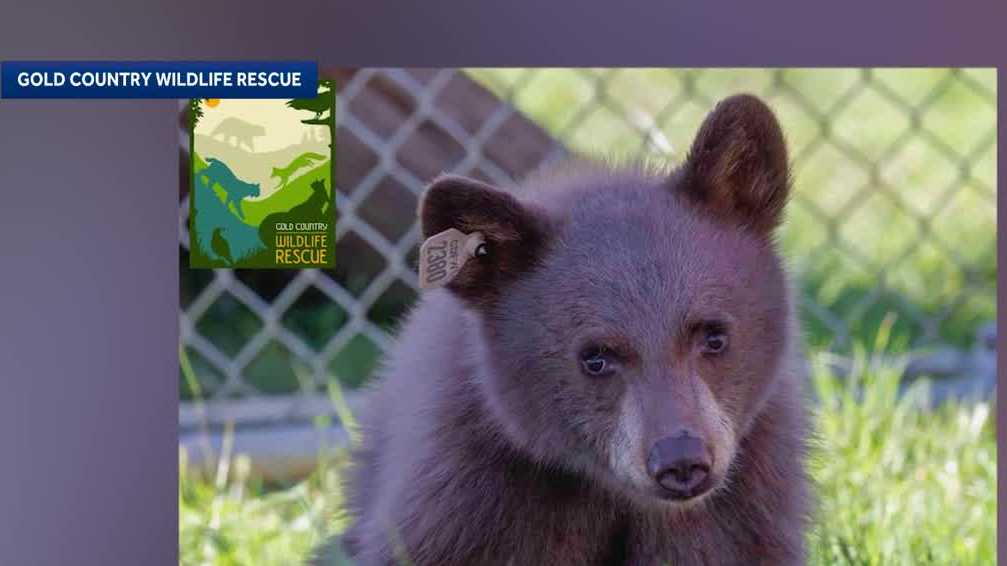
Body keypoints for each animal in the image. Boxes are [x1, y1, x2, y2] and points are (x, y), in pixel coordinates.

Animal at [312, 94, 811, 566]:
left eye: (714, 336)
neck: (614, 496)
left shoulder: (745, 502)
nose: (681, 461)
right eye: (595, 357)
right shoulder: (467, 496)